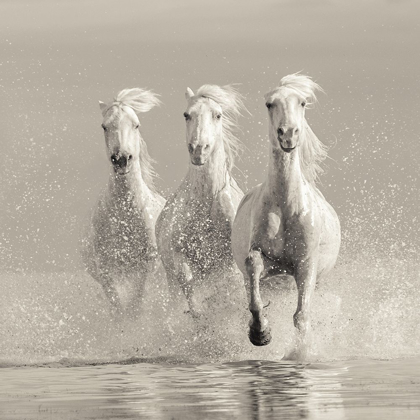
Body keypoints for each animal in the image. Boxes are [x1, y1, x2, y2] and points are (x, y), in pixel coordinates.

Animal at [81, 89, 167, 318]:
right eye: (104, 126)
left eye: (136, 124)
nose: (121, 159)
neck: (124, 215)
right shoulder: (105, 268)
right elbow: (118, 307)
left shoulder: (148, 266)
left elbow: (136, 304)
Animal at [158, 83, 248, 316]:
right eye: (186, 114)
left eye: (218, 115)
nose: (198, 150)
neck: (206, 202)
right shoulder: (178, 254)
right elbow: (186, 279)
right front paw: (198, 313)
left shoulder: (230, 261)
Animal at [231, 73, 340, 348]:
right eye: (269, 104)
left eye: (302, 103)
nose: (288, 135)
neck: (285, 206)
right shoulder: (263, 259)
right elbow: (254, 280)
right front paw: (260, 333)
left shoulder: (306, 264)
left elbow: (301, 315)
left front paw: (299, 353)